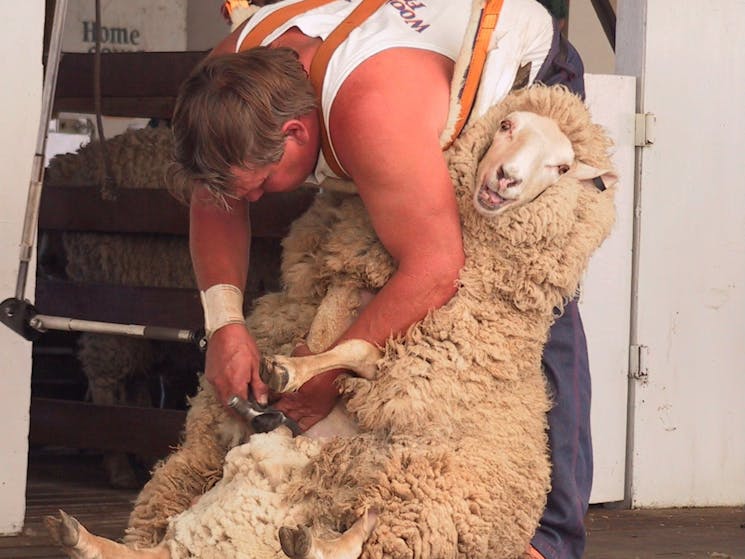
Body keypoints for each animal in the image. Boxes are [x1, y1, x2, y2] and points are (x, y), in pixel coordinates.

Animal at [45, 84, 616, 559]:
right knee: (155, 550)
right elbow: (332, 327)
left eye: (562, 167)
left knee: (336, 548)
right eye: (506, 125)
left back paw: (320, 537)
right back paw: (80, 536)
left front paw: (292, 373)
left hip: (389, 503)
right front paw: (283, 370)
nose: (506, 179)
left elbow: (358, 349)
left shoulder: (400, 363)